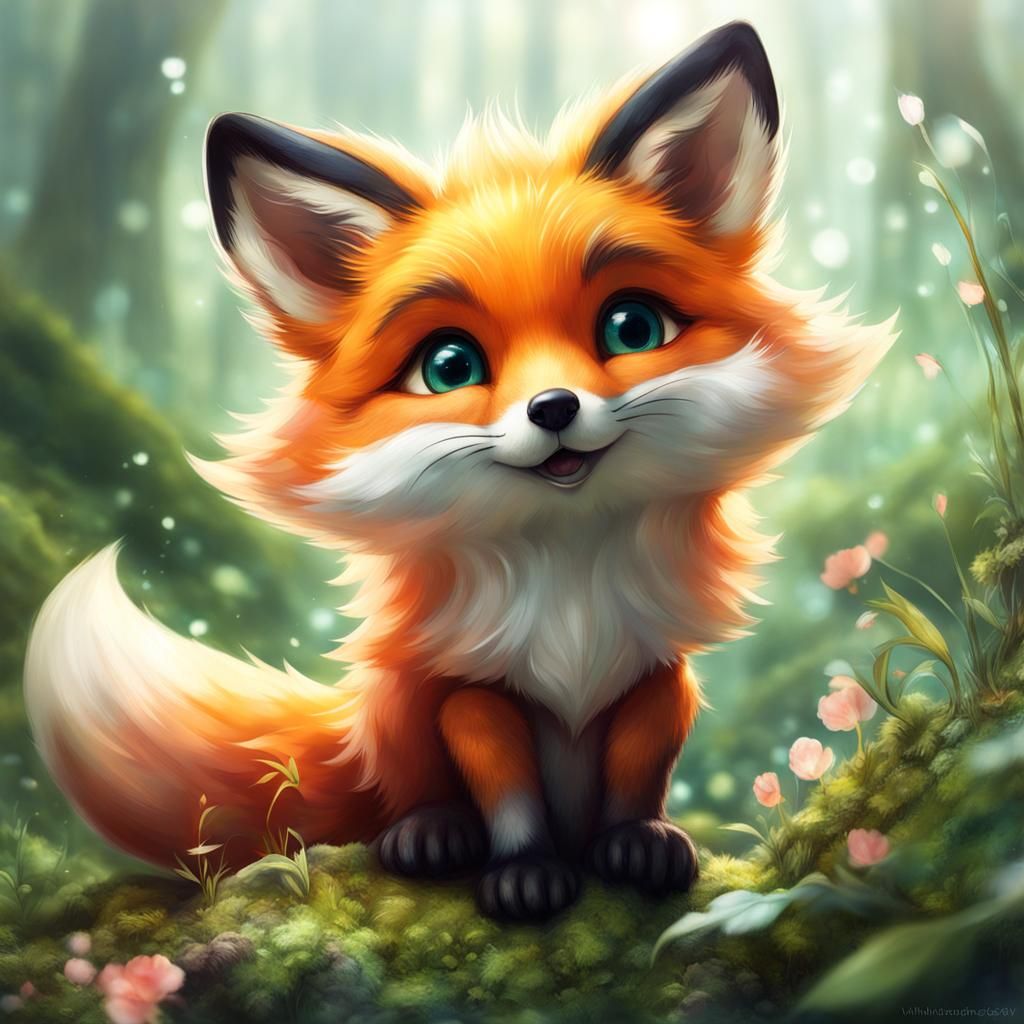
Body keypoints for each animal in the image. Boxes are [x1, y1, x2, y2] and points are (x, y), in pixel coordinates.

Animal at [24, 22, 894, 921]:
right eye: (448, 367)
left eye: (632, 327)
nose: (553, 408)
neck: (569, 589)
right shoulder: (473, 692)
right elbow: (507, 791)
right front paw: (523, 873)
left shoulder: (654, 676)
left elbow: (637, 771)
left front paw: (638, 844)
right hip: (397, 708)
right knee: (408, 795)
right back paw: (428, 833)